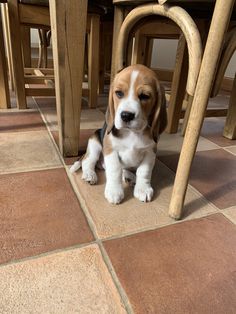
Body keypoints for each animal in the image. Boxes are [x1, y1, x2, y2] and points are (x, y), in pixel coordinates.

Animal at [70, 65, 168, 205]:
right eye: (119, 93)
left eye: (145, 96)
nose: (126, 115)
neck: (132, 133)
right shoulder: (110, 149)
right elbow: (115, 169)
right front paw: (114, 191)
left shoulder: (150, 151)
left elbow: (144, 171)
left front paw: (143, 189)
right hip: (95, 144)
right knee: (87, 161)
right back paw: (90, 174)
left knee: (123, 169)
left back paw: (130, 177)